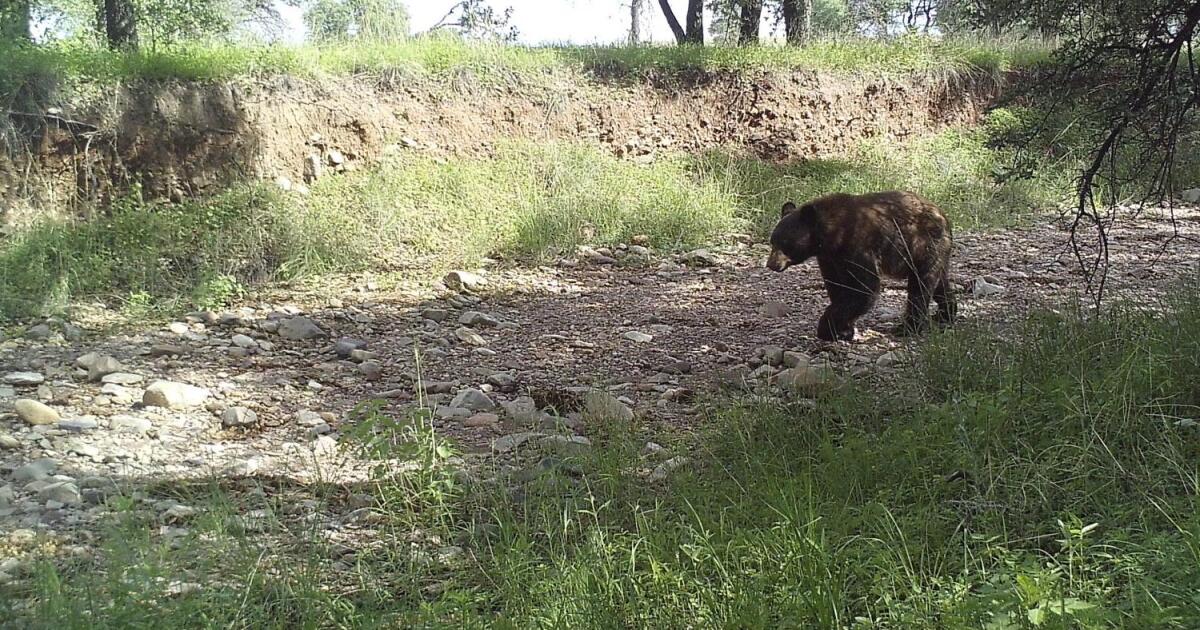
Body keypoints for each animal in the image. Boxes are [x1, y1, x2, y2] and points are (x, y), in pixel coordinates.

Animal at [765, 190, 956, 342]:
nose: (771, 264)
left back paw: (908, 327)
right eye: (772, 241)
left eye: (785, 243)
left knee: (920, 286)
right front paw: (843, 330)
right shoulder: (830, 259)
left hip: (923, 246)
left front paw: (828, 329)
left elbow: (864, 289)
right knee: (940, 283)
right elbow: (837, 286)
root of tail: (944, 216)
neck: (833, 235)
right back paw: (946, 313)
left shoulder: (858, 247)